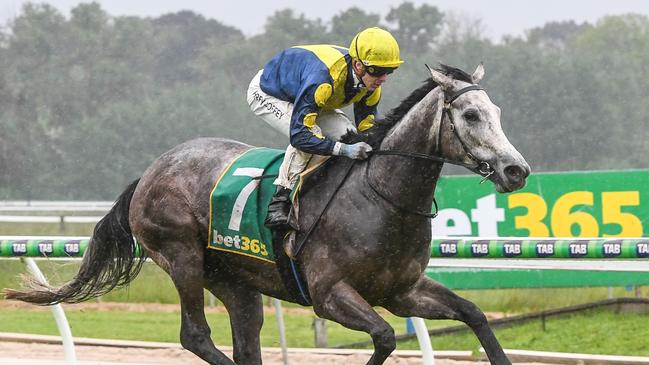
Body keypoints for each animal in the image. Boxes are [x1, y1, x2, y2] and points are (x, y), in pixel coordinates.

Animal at [5, 64, 528, 362]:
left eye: (500, 113)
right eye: (471, 116)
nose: (516, 170)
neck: (380, 197)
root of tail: (152, 170)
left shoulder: (402, 291)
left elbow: (475, 315)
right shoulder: (329, 293)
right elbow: (382, 337)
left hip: (235, 281)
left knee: (246, 343)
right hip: (182, 257)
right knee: (196, 336)